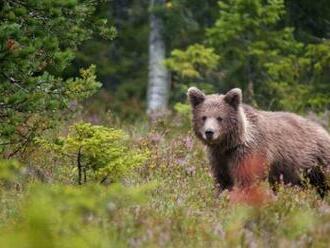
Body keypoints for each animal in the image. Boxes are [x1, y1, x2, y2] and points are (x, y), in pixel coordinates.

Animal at [187, 87, 330, 198]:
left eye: (220, 118)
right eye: (203, 117)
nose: (209, 132)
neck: (230, 144)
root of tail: (323, 130)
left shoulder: (249, 153)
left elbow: (246, 180)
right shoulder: (219, 158)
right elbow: (222, 181)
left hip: (318, 161)